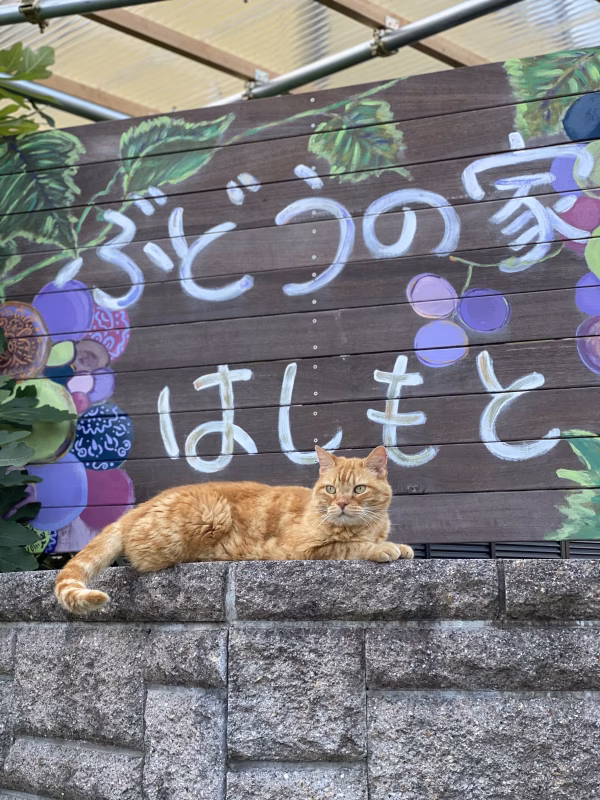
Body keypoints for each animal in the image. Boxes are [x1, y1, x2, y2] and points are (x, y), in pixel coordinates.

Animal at [55, 445, 413, 614]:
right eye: (330, 489)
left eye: (358, 490)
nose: (340, 504)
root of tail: (136, 509)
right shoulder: (303, 550)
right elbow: (349, 546)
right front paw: (382, 548)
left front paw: (402, 546)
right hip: (212, 514)